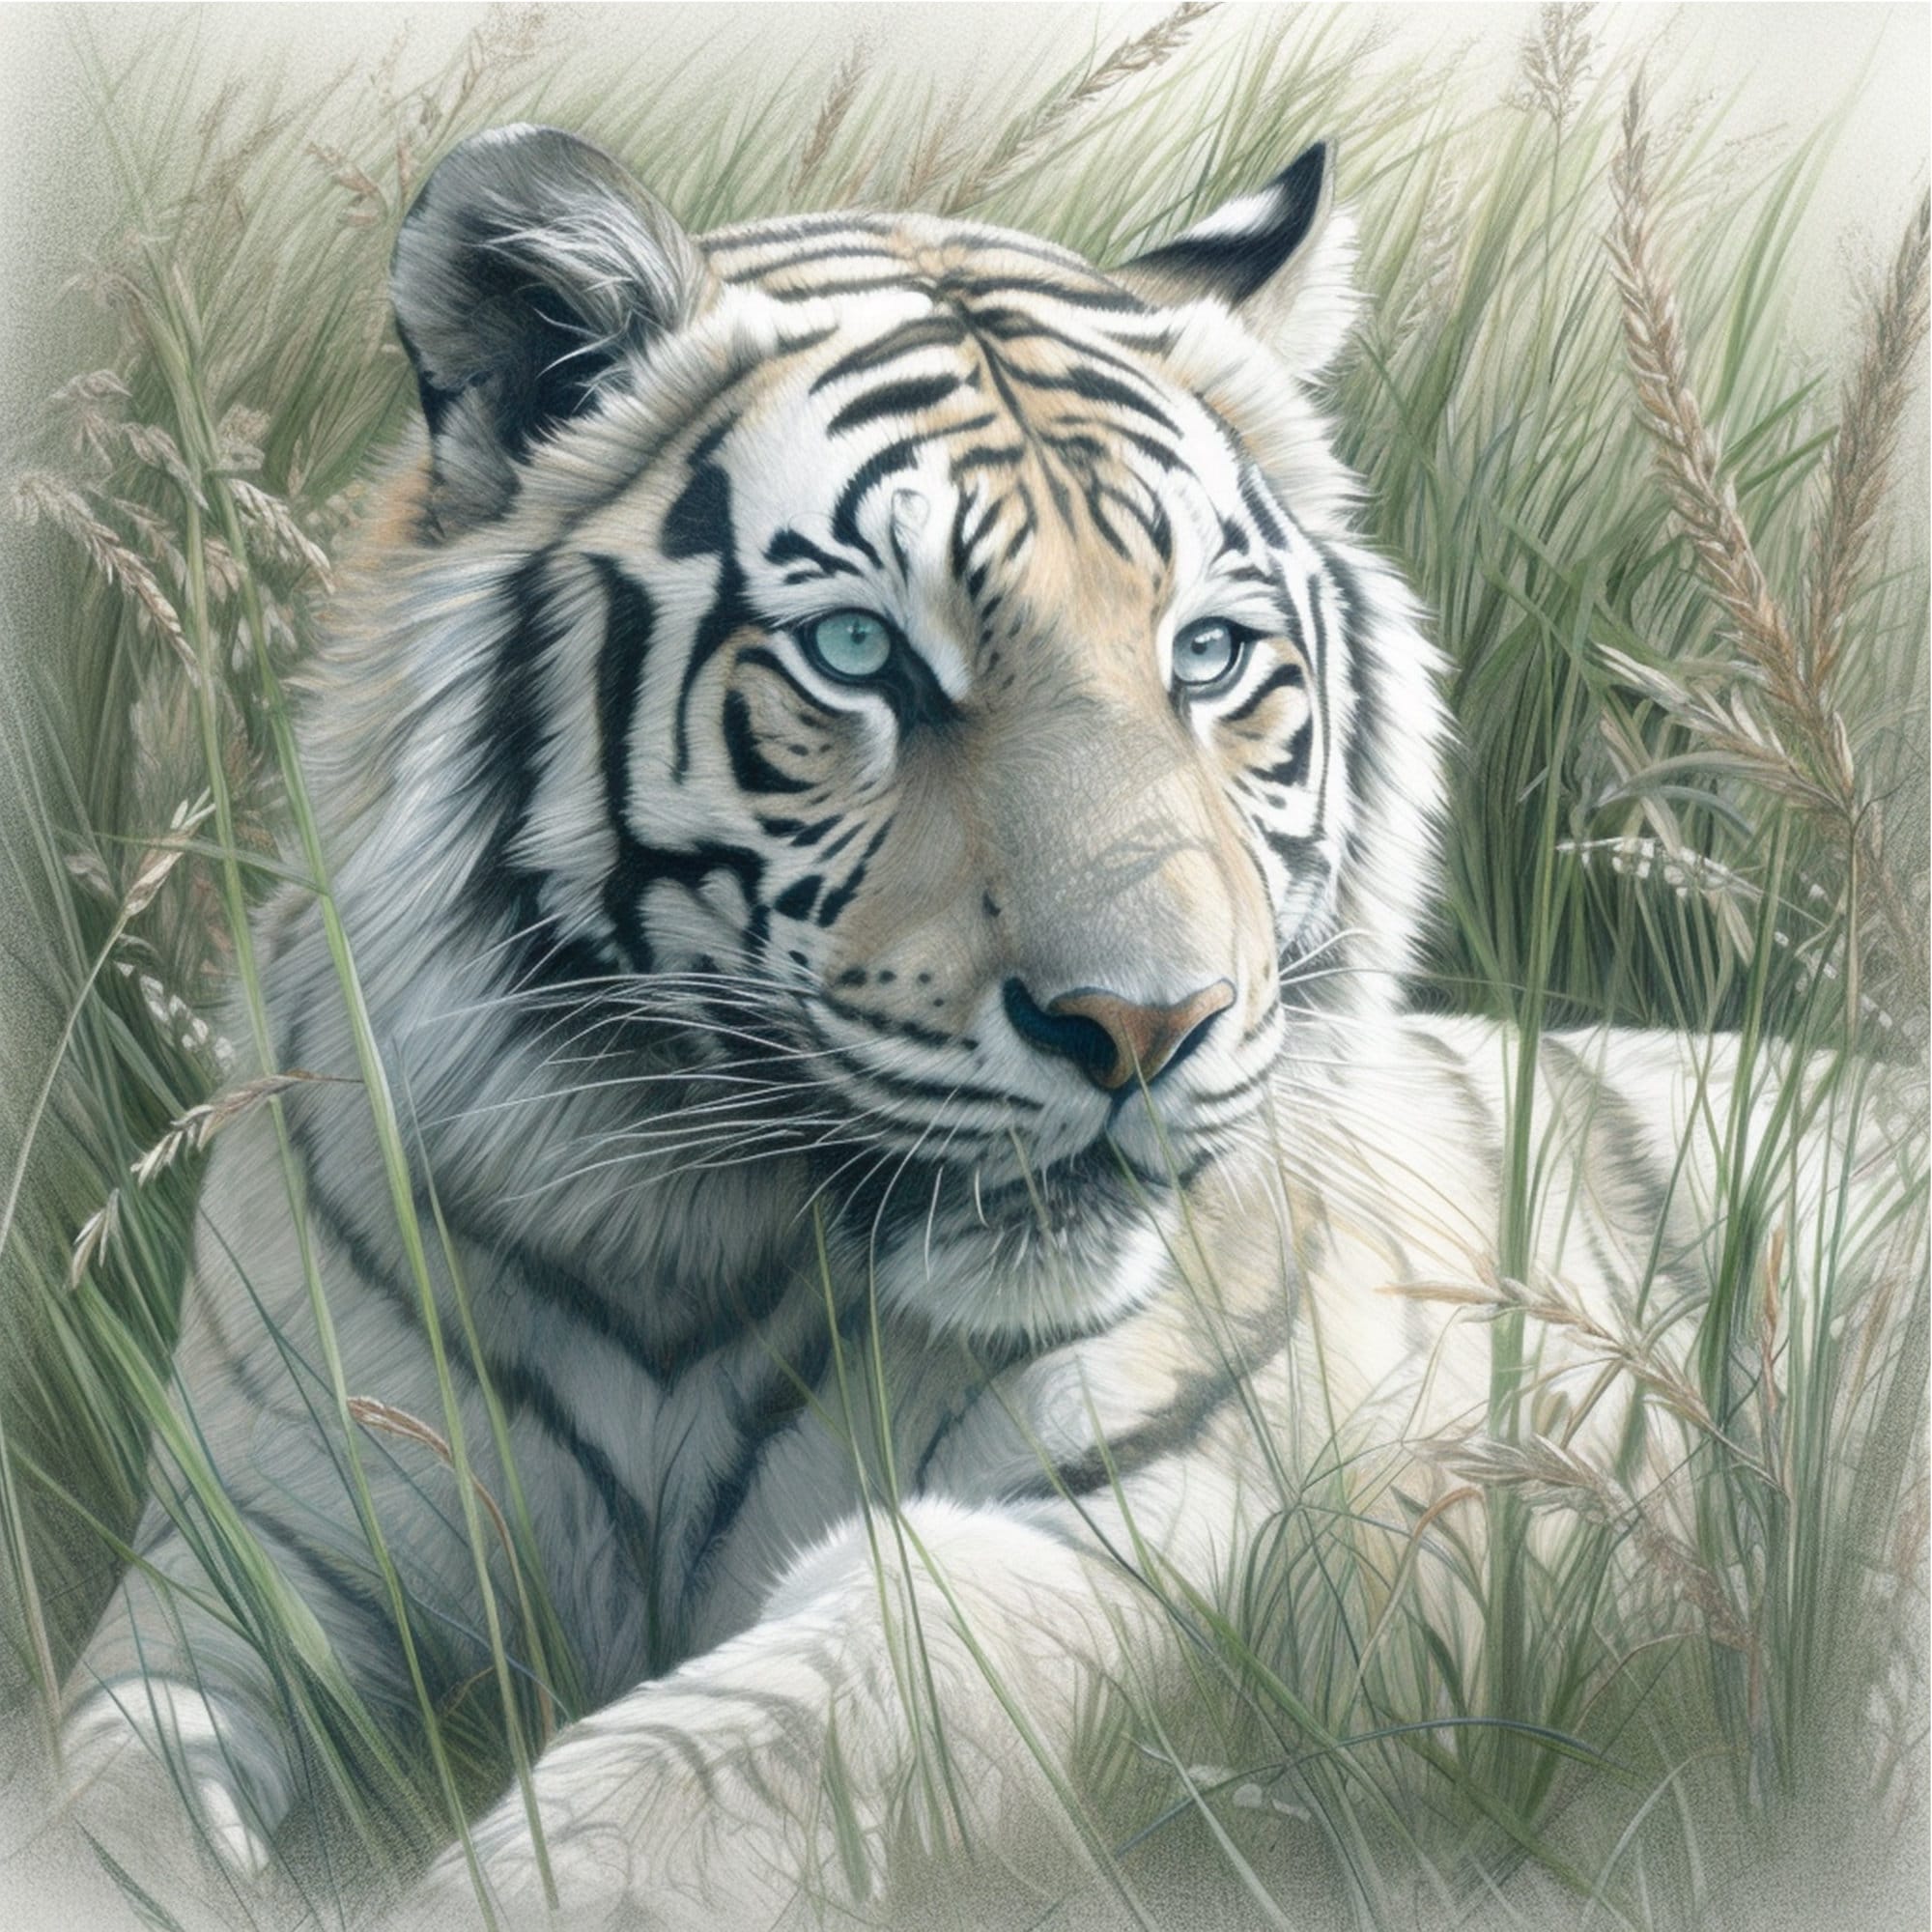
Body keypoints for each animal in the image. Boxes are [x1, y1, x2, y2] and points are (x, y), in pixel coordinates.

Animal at [55, 124, 1912, 1930]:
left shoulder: (1198, 1530)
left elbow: (811, 1705)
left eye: (1209, 655)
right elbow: (105, 1781)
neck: (671, 1254)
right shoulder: (251, 1561)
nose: (1146, 1025)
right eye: (859, 650)